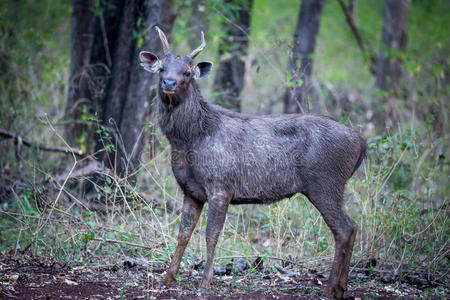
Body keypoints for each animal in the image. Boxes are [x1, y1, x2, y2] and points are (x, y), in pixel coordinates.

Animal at [139, 27, 368, 298]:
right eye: (162, 68)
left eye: (187, 72)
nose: (169, 83)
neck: (188, 141)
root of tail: (360, 142)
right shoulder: (191, 191)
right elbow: (183, 234)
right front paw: (167, 278)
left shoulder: (221, 186)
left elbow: (211, 235)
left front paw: (205, 282)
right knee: (350, 228)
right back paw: (340, 286)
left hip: (326, 184)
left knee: (345, 229)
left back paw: (332, 288)